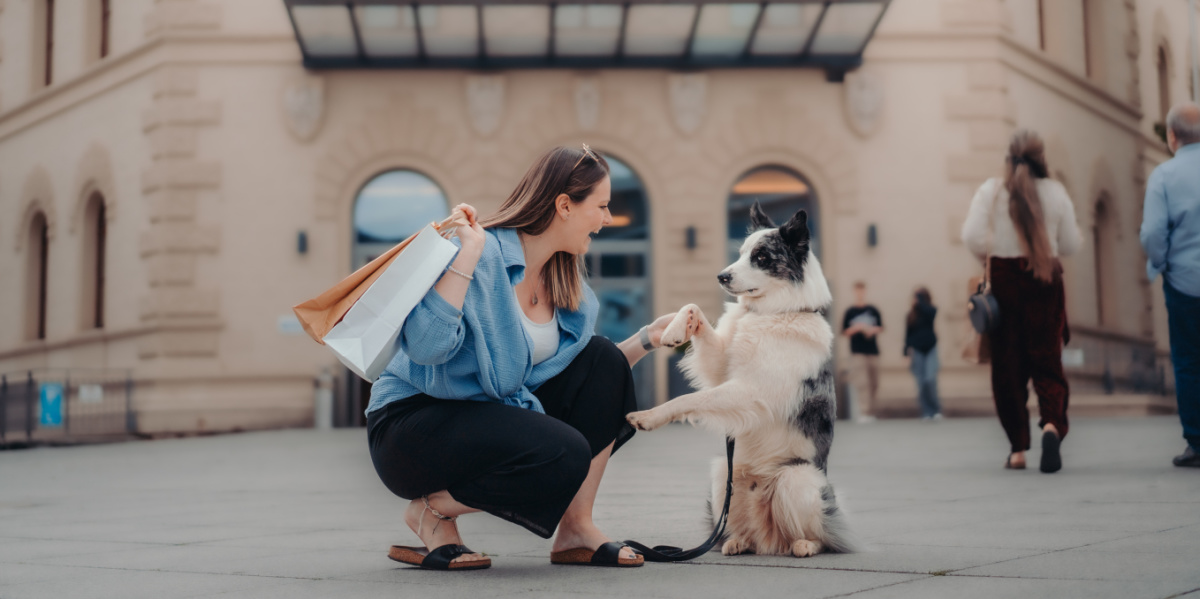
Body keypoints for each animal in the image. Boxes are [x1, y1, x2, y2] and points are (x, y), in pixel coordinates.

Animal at [624, 205, 859, 556]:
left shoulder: (750, 391)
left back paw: (805, 544)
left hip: (795, 479)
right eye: (741, 253)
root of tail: (770, 537)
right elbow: (693, 307)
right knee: (745, 531)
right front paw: (674, 329)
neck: (769, 313)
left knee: (821, 535)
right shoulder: (722, 369)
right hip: (724, 473)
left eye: (761, 257)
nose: (721, 276)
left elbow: (689, 399)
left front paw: (649, 416)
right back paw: (738, 541)